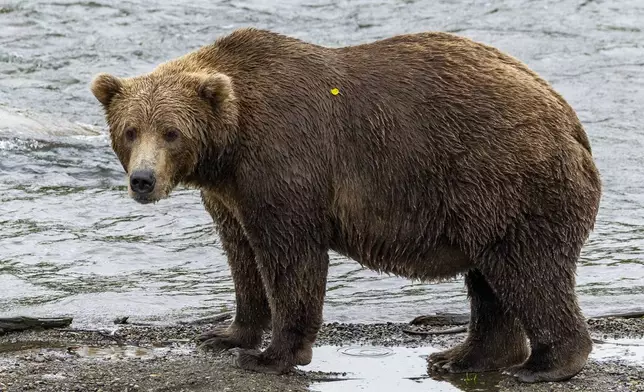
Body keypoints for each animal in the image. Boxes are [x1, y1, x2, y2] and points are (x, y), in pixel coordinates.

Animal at [90, 27, 604, 382]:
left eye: (171, 131)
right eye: (130, 130)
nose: (143, 180)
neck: (230, 146)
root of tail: (571, 123)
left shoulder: (286, 162)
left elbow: (290, 257)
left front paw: (270, 356)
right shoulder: (229, 194)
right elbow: (241, 256)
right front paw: (225, 334)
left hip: (504, 179)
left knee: (526, 272)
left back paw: (545, 364)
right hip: (483, 204)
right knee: (490, 280)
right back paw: (462, 356)